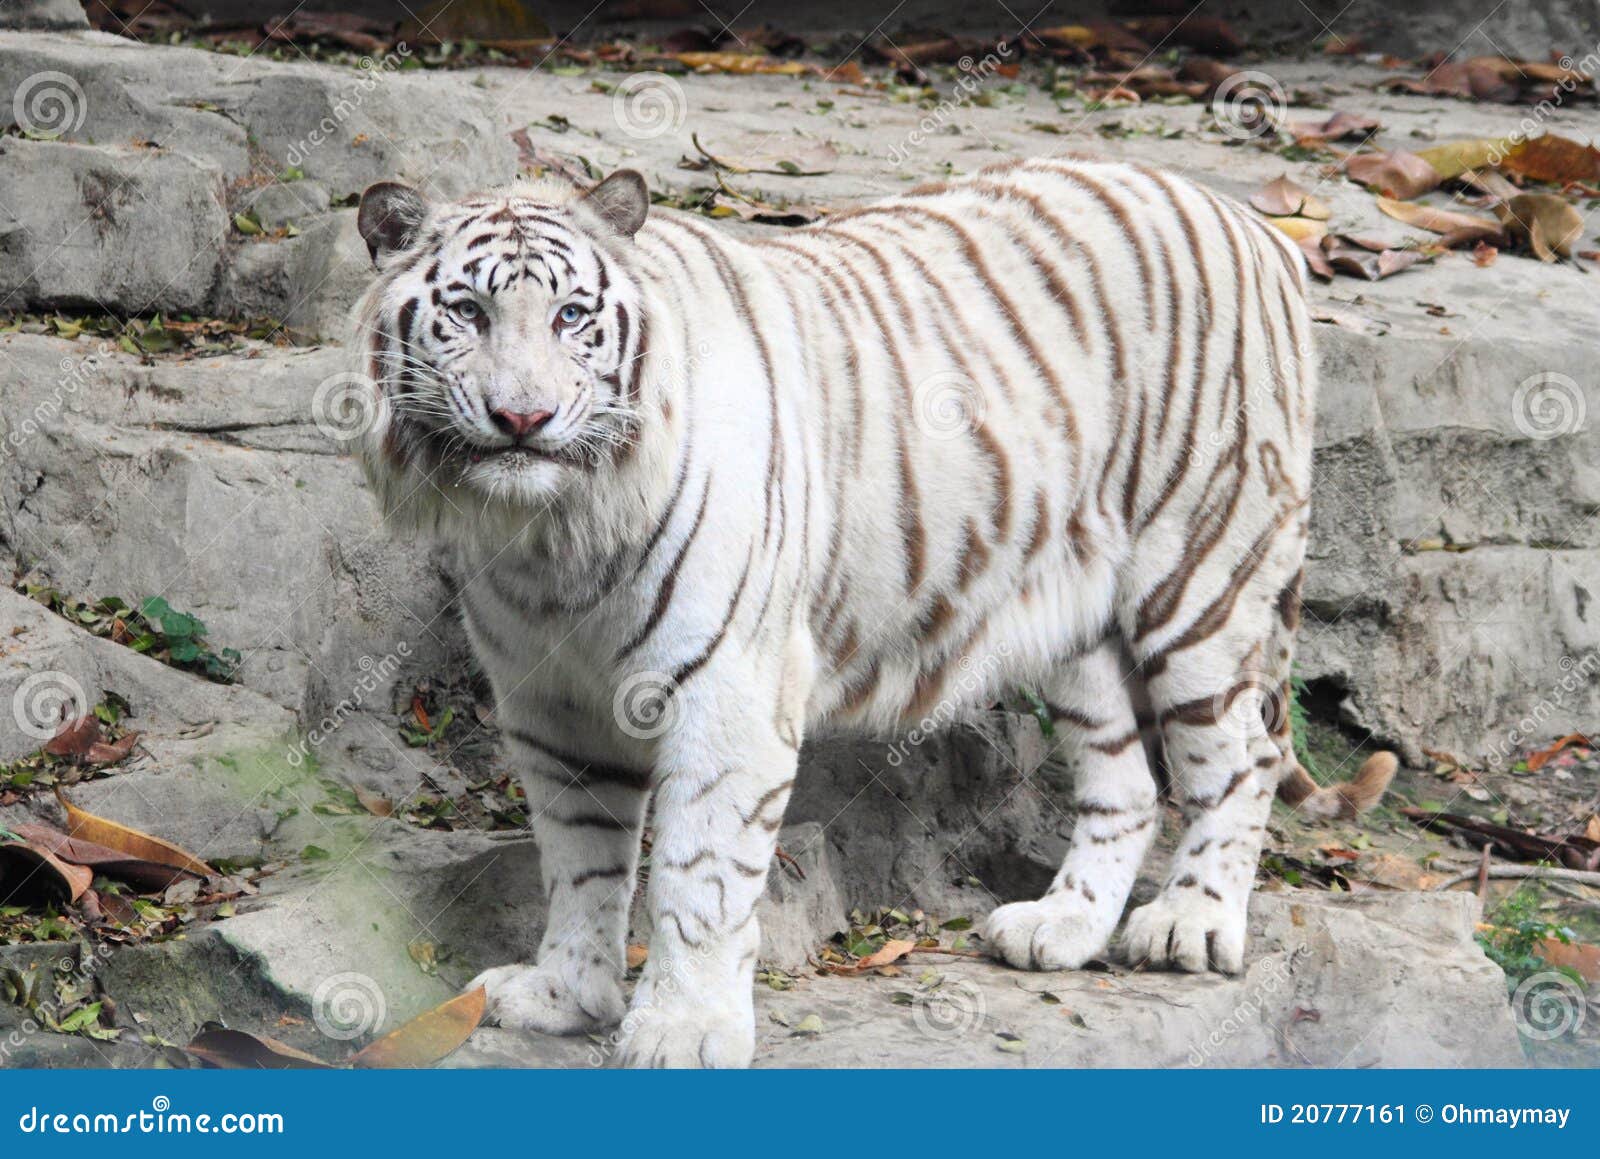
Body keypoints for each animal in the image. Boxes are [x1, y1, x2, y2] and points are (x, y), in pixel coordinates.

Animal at [350, 156, 1396, 1068]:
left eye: (572, 316)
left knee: (1240, 756)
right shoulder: (551, 707)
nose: (522, 418)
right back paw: (1060, 926)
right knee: (1128, 780)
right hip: (1079, 620)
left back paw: (1190, 923)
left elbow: (697, 873)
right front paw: (564, 995)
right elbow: (580, 860)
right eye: (469, 312)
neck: (548, 534)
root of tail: (1252, 223)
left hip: (1204, 576)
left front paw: (683, 1029)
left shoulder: (726, 691)